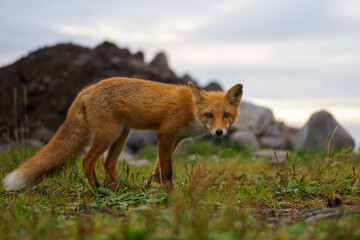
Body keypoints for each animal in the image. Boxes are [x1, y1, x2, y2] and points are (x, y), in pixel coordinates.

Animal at [3, 78, 242, 190]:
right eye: (209, 115)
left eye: (226, 115)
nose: (219, 131)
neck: (191, 109)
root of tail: (85, 90)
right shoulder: (165, 134)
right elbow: (167, 171)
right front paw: (170, 192)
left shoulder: (173, 140)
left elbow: (157, 168)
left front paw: (152, 187)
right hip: (110, 133)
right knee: (88, 161)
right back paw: (97, 189)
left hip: (122, 134)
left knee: (108, 163)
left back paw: (119, 187)